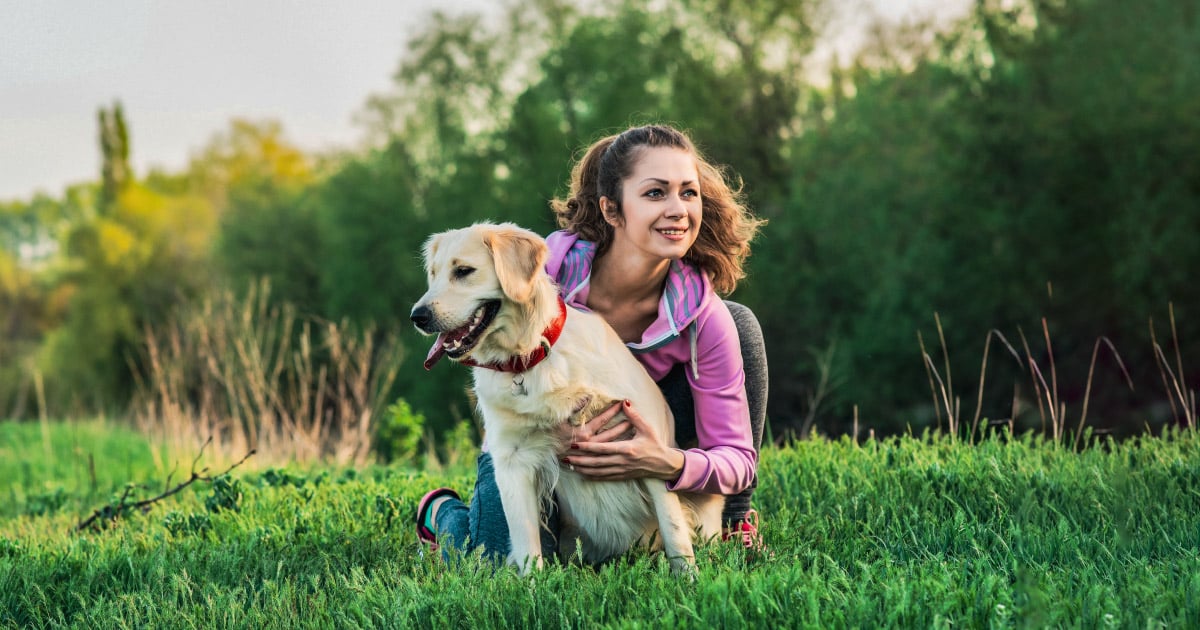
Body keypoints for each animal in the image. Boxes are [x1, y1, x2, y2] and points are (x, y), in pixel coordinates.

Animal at [408, 220, 720, 573]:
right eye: (433, 274)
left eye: (463, 271)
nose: (417, 316)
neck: (528, 360)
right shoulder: (512, 462)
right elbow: (526, 545)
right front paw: (533, 585)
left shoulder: (647, 442)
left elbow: (674, 530)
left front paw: (688, 578)